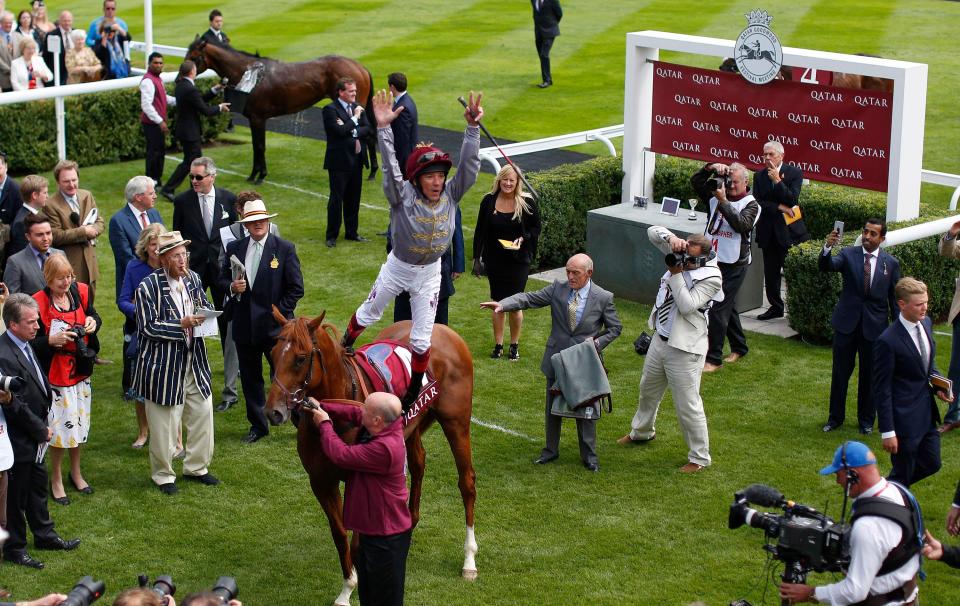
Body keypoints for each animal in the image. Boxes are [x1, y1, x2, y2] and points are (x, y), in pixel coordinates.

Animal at [186, 37, 380, 185]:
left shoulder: (258, 119)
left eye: (194, 57)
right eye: (187, 55)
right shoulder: (254, 119)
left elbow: (260, 146)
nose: (183, 74)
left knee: (368, 135)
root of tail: (361, 67)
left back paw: (372, 172)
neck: (250, 75)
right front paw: (253, 175)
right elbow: (256, 146)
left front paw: (260, 176)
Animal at [264, 312, 478, 604]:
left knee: (466, 482)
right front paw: (346, 589)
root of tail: (444, 330)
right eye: (273, 354)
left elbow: (357, 540)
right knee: (418, 463)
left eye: (300, 358)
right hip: (411, 428)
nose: (272, 412)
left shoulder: (360, 479)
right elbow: (340, 535)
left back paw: (469, 560)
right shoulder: (320, 481)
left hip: (456, 420)